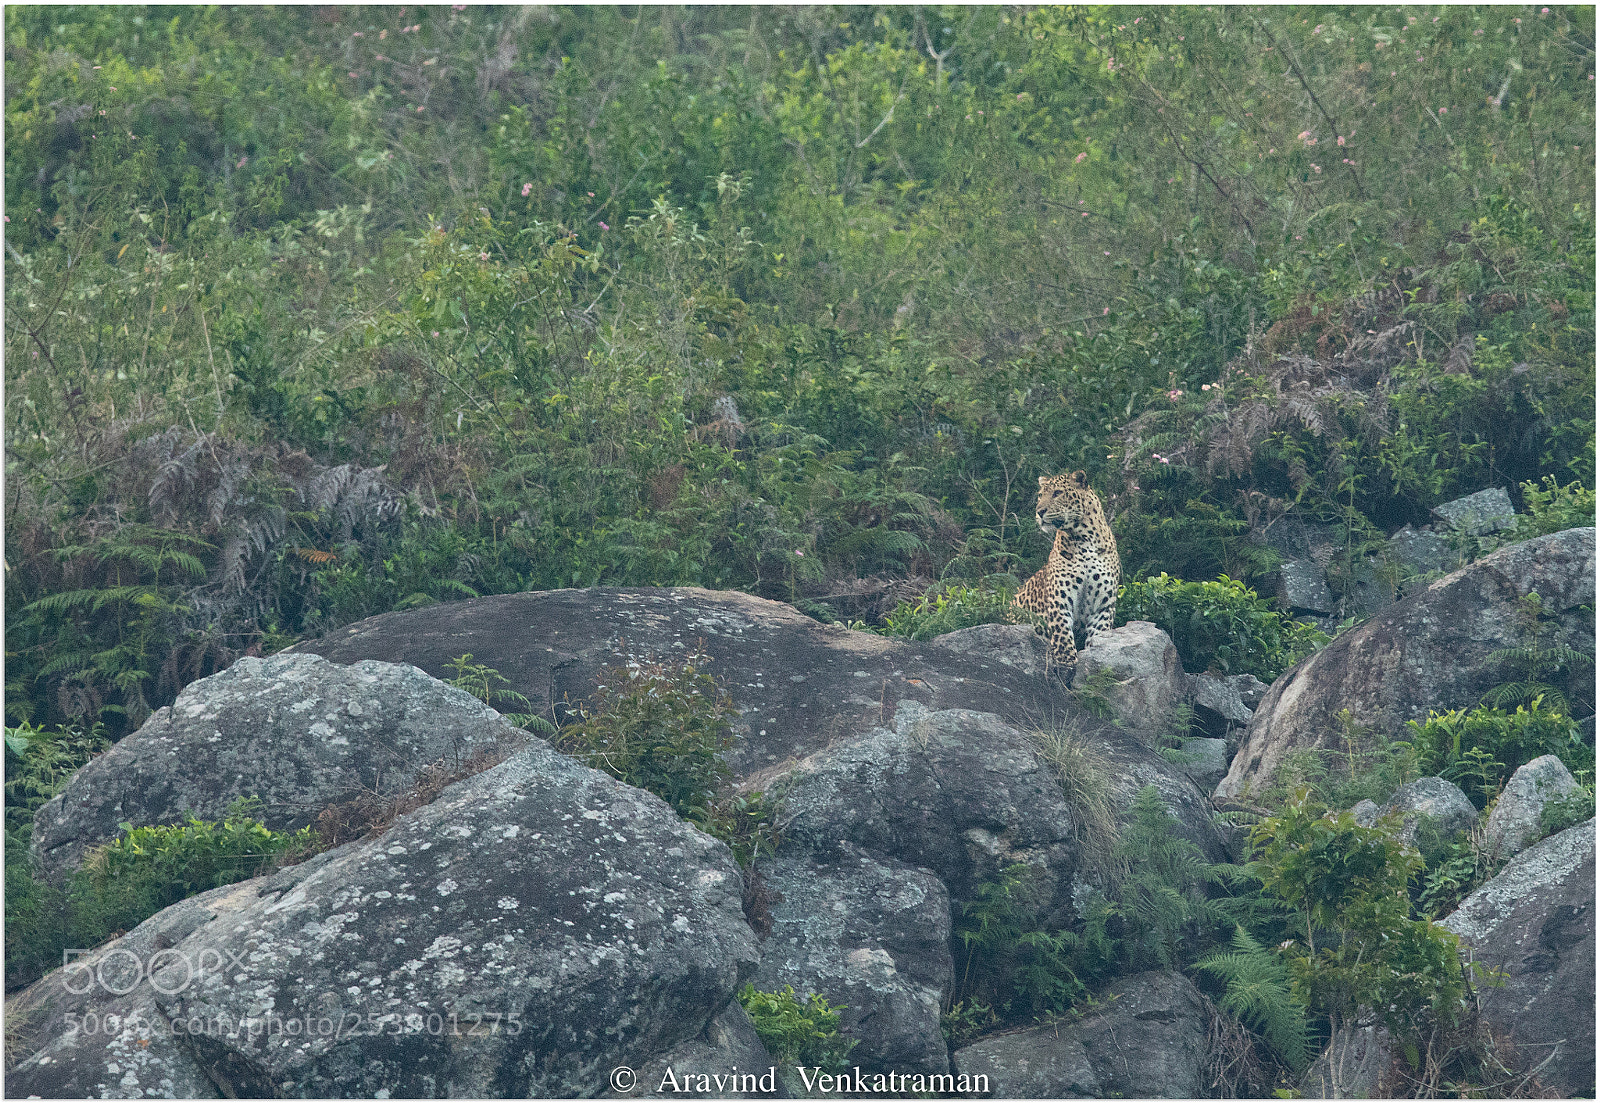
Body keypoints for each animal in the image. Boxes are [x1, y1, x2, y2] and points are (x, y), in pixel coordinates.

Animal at [1011, 470, 1121, 668]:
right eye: (1041, 495)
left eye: (1057, 493)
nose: (1039, 511)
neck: (1085, 537)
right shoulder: (1060, 597)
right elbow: (1062, 631)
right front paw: (1066, 660)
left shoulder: (1103, 605)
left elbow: (1099, 635)